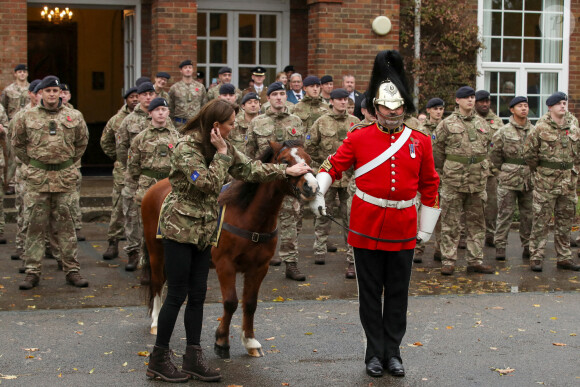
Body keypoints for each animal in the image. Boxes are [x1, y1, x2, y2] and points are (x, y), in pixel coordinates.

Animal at [143, 140, 320, 360]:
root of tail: (154, 188)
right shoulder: (225, 265)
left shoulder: (259, 268)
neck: (249, 218)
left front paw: (250, 341)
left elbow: (250, 303)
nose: (311, 186)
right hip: (156, 253)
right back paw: (156, 321)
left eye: (309, 159)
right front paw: (222, 341)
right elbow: (230, 302)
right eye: (286, 160)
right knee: (157, 282)